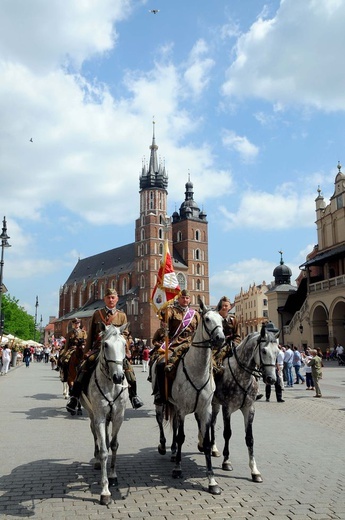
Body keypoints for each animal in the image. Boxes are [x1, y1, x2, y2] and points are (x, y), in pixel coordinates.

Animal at [79, 322, 127, 506]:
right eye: (105, 345)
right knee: (96, 435)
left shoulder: (119, 416)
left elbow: (113, 445)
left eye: (125, 344)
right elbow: (105, 450)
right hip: (91, 413)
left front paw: (113, 476)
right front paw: (105, 491)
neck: (111, 385)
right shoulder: (99, 416)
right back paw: (97, 459)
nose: (119, 376)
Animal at [152, 298, 224, 494]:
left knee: (175, 426)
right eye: (207, 319)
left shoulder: (205, 409)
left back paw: (173, 451)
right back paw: (163, 446)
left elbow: (206, 442)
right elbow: (182, 437)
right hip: (161, 403)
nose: (220, 338)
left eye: (222, 320)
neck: (197, 370)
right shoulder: (183, 409)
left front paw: (212, 481)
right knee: (160, 421)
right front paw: (177, 469)